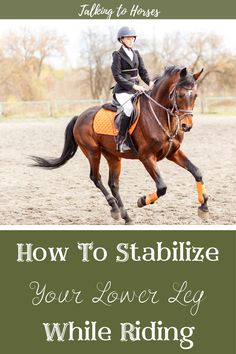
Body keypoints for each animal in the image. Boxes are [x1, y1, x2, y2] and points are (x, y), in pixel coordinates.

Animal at [31, 66, 208, 224]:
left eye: (195, 95)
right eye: (179, 94)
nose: (186, 126)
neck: (163, 117)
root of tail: (79, 116)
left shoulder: (173, 153)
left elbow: (197, 172)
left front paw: (204, 207)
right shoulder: (147, 157)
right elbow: (162, 187)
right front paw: (142, 200)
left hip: (113, 156)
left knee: (113, 184)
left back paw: (125, 216)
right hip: (93, 152)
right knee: (96, 178)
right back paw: (115, 209)